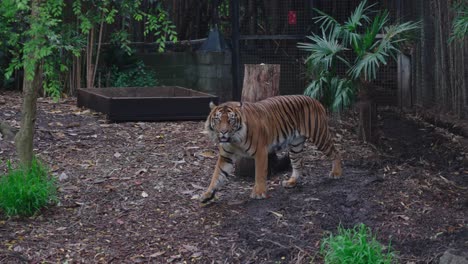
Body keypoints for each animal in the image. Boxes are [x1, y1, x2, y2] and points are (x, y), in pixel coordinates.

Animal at [199, 95, 342, 204]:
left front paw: (259, 193)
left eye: (230, 120)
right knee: (298, 163)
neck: (234, 140)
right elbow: (217, 175)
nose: (223, 132)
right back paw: (291, 182)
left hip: (319, 136)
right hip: (295, 146)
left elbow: (259, 174)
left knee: (336, 152)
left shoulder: (260, 152)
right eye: (217, 119)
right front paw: (207, 194)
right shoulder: (226, 156)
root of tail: (315, 100)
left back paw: (336, 173)